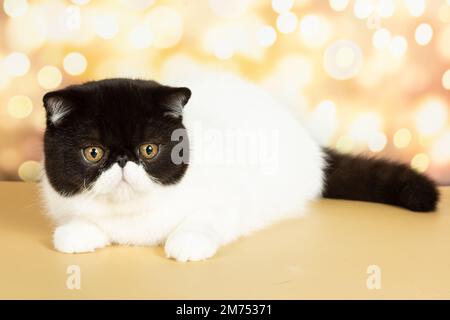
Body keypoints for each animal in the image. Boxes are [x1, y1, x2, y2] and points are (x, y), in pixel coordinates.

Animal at [40, 74, 438, 262]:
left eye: (149, 149)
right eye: (93, 153)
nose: (123, 160)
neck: (133, 219)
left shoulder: (228, 199)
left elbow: (204, 218)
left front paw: (187, 242)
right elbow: (77, 222)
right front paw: (76, 233)